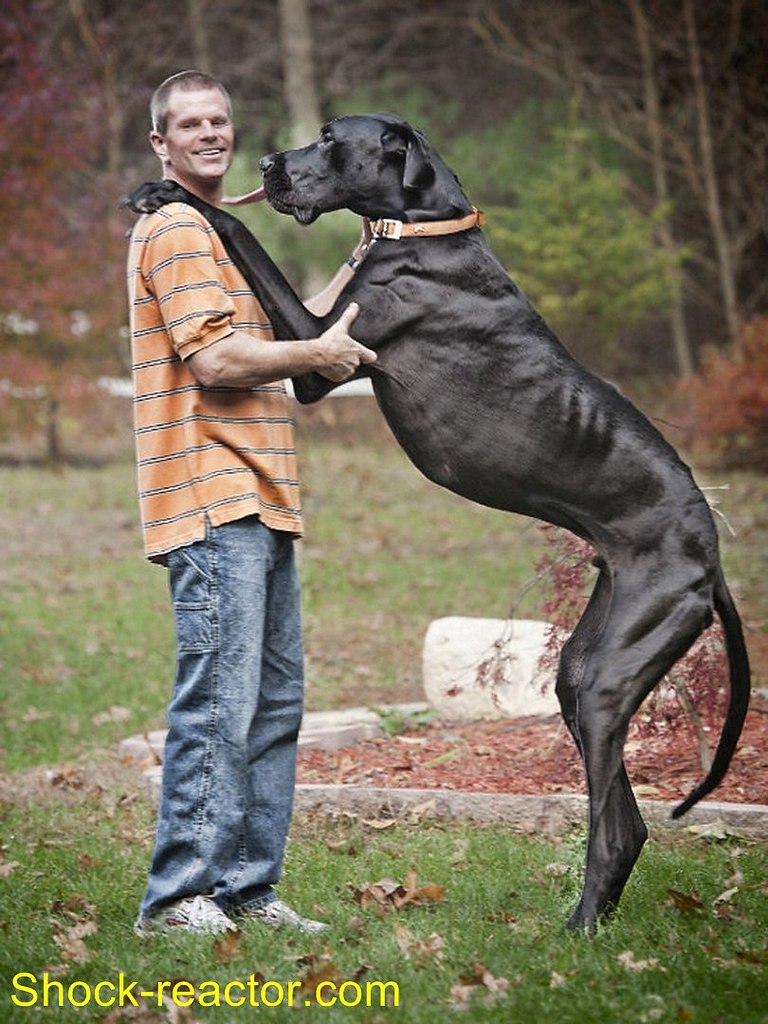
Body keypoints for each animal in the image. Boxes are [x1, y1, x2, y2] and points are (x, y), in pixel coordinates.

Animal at [128, 112, 753, 929]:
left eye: (330, 139)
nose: (266, 164)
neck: (423, 228)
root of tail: (711, 558)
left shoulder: (322, 348)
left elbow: (236, 229)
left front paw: (172, 193)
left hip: (613, 672)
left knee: (614, 824)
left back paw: (580, 927)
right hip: (586, 666)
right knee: (629, 816)